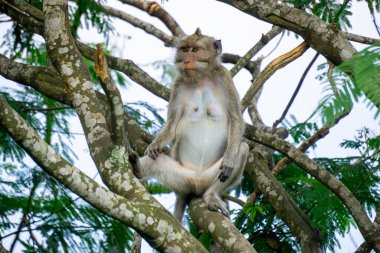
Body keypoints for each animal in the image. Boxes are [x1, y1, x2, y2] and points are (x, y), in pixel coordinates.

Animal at [130, 28, 249, 220]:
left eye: (195, 50)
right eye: (185, 49)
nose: (186, 60)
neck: (201, 78)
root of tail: (196, 181)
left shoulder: (224, 78)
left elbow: (236, 119)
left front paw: (230, 159)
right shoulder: (177, 86)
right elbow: (171, 126)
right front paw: (155, 144)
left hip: (209, 177)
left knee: (243, 149)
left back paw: (211, 195)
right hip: (182, 179)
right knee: (156, 160)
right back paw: (138, 167)